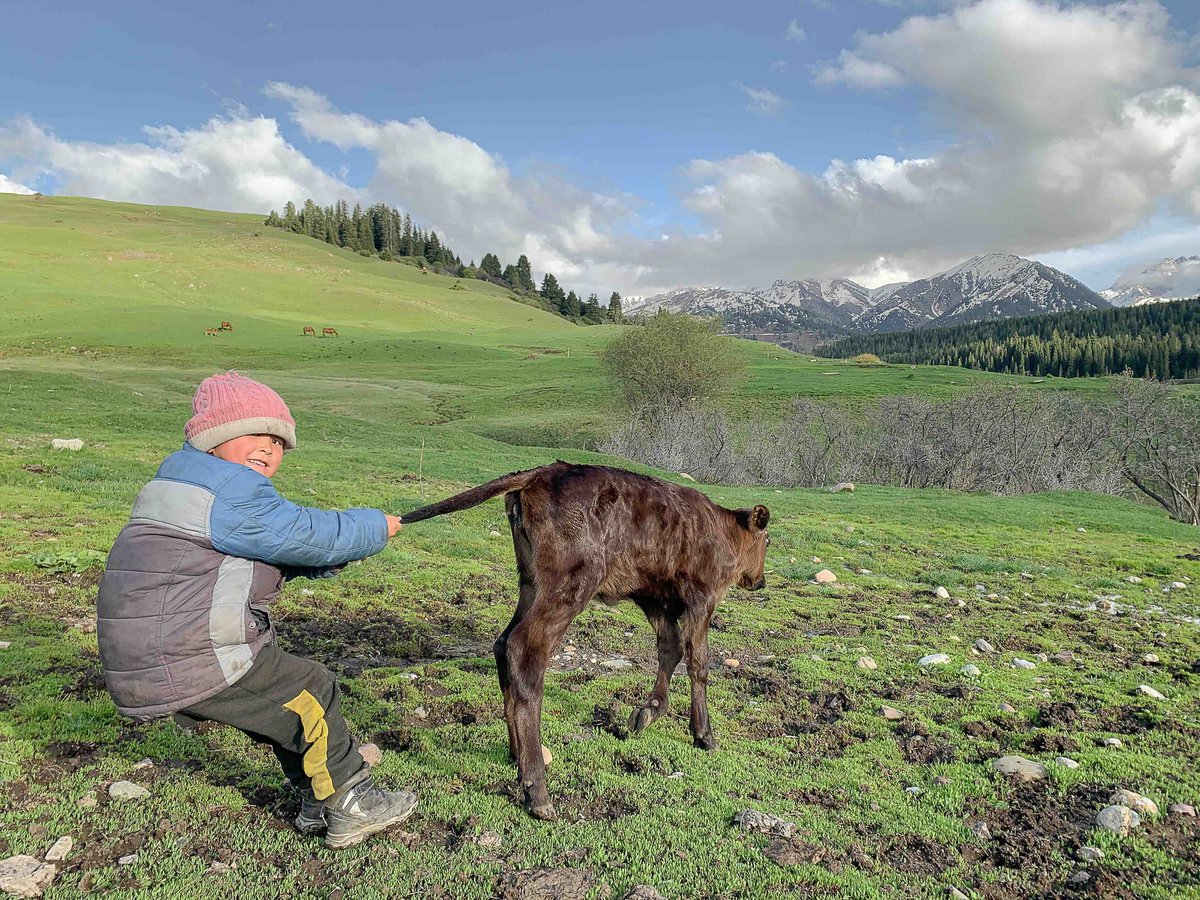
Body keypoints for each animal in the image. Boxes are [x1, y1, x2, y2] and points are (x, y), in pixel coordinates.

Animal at [401, 461, 770, 821]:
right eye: (767, 541)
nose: (760, 582)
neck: (723, 530)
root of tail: (540, 474)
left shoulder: (651, 596)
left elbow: (671, 647)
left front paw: (648, 712)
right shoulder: (700, 598)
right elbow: (698, 661)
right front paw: (704, 734)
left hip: (531, 582)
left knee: (502, 643)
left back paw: (517, 756)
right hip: (573, 582)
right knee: (524, 649)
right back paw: (538, 792)